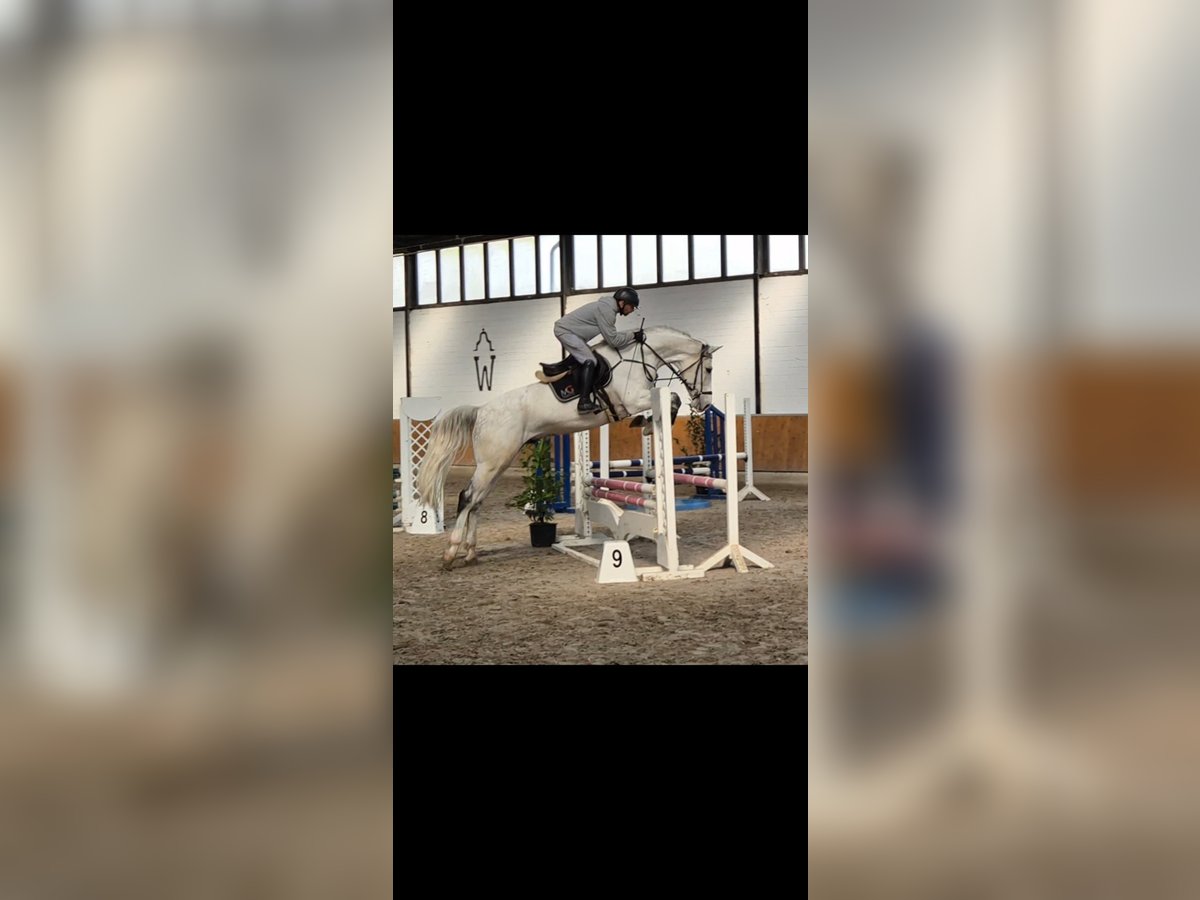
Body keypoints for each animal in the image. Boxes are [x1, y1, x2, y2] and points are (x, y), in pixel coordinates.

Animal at [415, 326, 721, 569]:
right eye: (708, 369)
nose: (704, 404)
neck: (638, 357)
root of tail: (481, 411)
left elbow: (667, 401)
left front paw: (644, 424)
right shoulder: (634, 399)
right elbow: (671, 398)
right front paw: (647, 424)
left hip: (498, 462)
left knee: (477, 502)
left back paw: (470, 553)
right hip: (491, 463)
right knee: (467, 497)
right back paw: (451, 553)